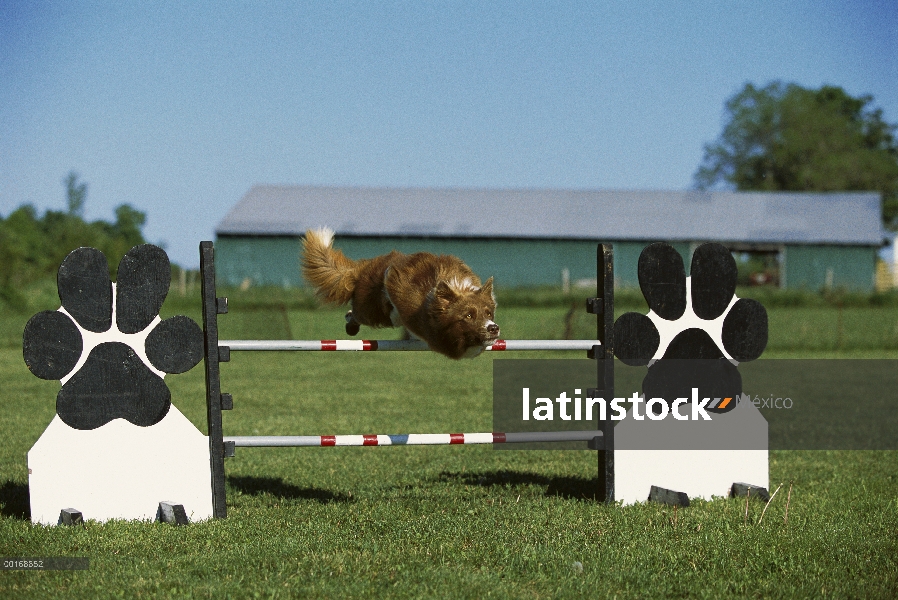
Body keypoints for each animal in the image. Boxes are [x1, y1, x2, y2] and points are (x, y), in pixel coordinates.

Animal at [300, 229, 496, 360]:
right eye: (468, 316)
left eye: (488, 313)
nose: (494, 328)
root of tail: (361, 268)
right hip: (373, 311)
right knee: (355, 313)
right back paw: (351, 325)